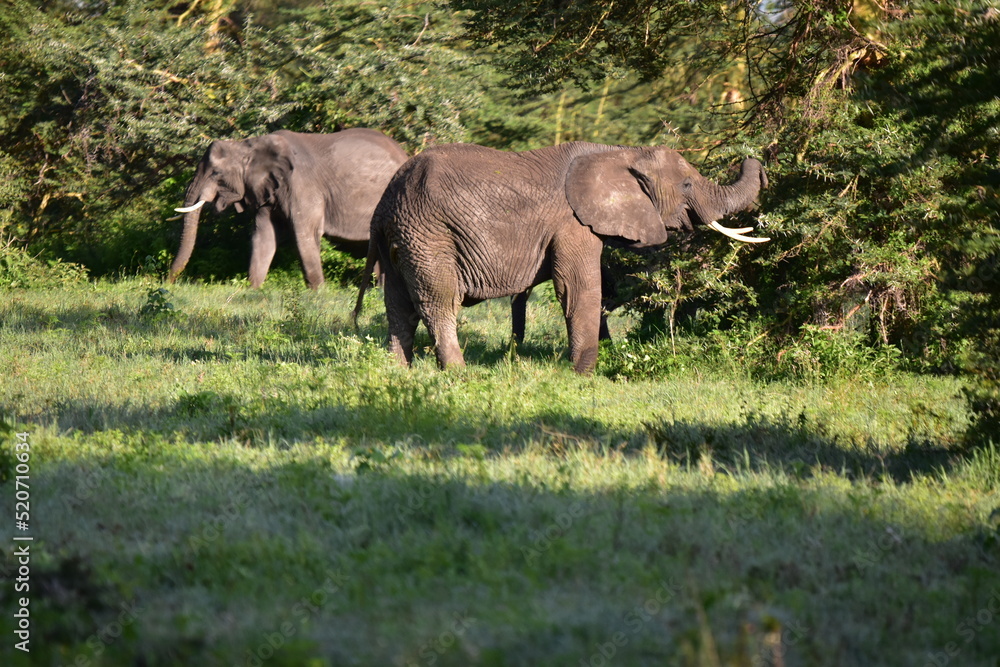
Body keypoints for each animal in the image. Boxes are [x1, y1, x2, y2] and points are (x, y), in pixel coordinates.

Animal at [168, 128, 409, 289]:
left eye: (216, 173)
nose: (169, 282)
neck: (248, 145)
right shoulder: (266, 190)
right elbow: (263, 236)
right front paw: (253, 289)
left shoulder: (302, 185)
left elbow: (305, 235)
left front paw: (318, 294)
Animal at [362, 141, 769, 374]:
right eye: (685, 185)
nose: (757, 161)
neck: (620, 152)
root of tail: (384, 203)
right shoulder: (573, 222)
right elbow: (578, 289)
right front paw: (584, 376)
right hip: (429, 234)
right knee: (439, 302)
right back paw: (459, 375)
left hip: (404, 238)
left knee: (398, 306)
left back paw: (398, 374)